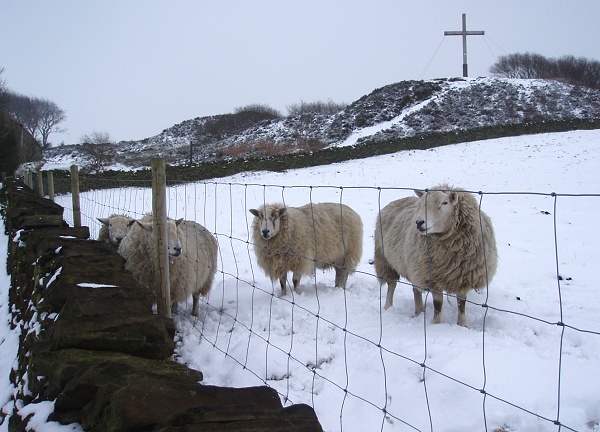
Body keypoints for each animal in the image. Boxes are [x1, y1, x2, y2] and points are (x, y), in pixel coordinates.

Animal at [376, 183, 496, 328]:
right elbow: (438, 304)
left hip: (413, 266)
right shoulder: (432, 277)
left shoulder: (463, 277)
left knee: (415, 289)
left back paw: (419, 311)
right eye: (422, 203)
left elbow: (461, 304)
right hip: (386, 260)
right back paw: (388, 307)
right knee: (391, 286)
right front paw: (436, 324)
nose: (419, 222)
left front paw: (463, 325)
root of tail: (396, 201)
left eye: (445, 203)